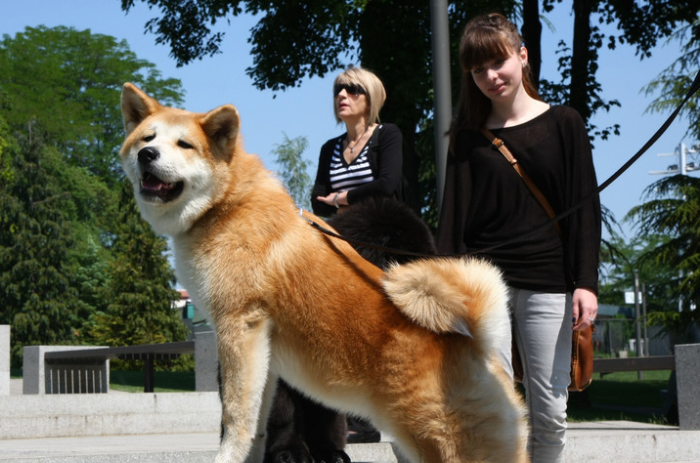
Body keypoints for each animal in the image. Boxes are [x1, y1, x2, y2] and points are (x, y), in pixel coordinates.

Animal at [117, 84, 528, 463]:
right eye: (147, 138)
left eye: (184, 144)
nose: (147, 155)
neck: (227, 206)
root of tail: (476, 342)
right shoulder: (262, 352)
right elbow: (259, 420)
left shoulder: (238, 327)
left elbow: (235, 415)